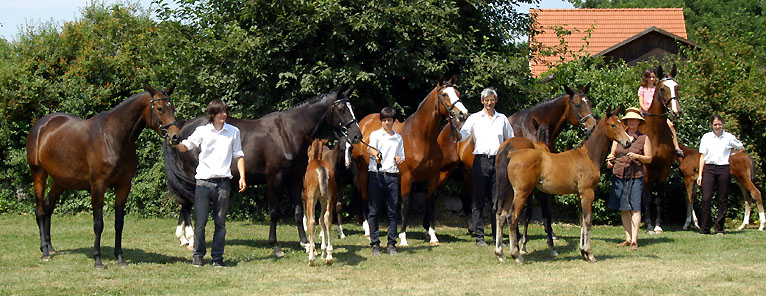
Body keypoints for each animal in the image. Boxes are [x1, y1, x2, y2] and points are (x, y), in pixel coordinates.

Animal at [25, 85, 183, 268]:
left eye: (173, 108)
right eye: (160, 108)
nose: (175, 136)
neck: (114, 138)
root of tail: (40, 126)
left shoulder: (123, 186)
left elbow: (119, 223)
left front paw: (120, 258)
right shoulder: (98, 186)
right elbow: (98, 223)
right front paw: (98, 260)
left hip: (59, 181)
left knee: (48, 207)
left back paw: (50, 247)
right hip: (38, 174)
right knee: (40, 210)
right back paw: (44, 252)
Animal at [164, 89, 362, 258]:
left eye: (352, 107)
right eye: (341, 109)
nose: (357, 136)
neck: (288, 132)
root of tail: (183, 128)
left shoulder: (295, 179)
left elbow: (298, 212)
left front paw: (305, 243)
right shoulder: (274, 179)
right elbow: (274, 212)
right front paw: (275, 246)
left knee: (185, 203)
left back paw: (184, 238)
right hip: (192, 177)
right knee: (187, 204)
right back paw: (190, 239)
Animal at [352, 77, 468, 246]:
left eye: (458, 93)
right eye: (445, 94)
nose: (463, 113)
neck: (419, 138)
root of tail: (363, 123)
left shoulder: (433, 177)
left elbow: (430, 204)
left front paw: (433, 236)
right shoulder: (407, 178)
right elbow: (405, 206)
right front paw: (403, 238)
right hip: (363, 172)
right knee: (364, 197)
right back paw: (367, 230)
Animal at [496, 106, 632, 264]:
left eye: (622, 124)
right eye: (613, 125)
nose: (628, 142)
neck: (587, 156)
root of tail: (511, 155)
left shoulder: (579, 193)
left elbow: (581, 220)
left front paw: (583, 252)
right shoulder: (588, 192)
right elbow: (588, 220)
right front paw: (590, 253)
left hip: (510, 193)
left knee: (501, 214)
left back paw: (500, 254)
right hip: (522, 193)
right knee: (512, 216)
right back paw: (516, 256)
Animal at [640, 65, 688, 234]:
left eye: (677, 87)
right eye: (662, 89)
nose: (677, 111)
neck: (656, 133)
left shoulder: (664, 168)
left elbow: (659, 198)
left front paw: (658, 226)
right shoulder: (645, 168)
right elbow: (647, 198)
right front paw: (649, 227)